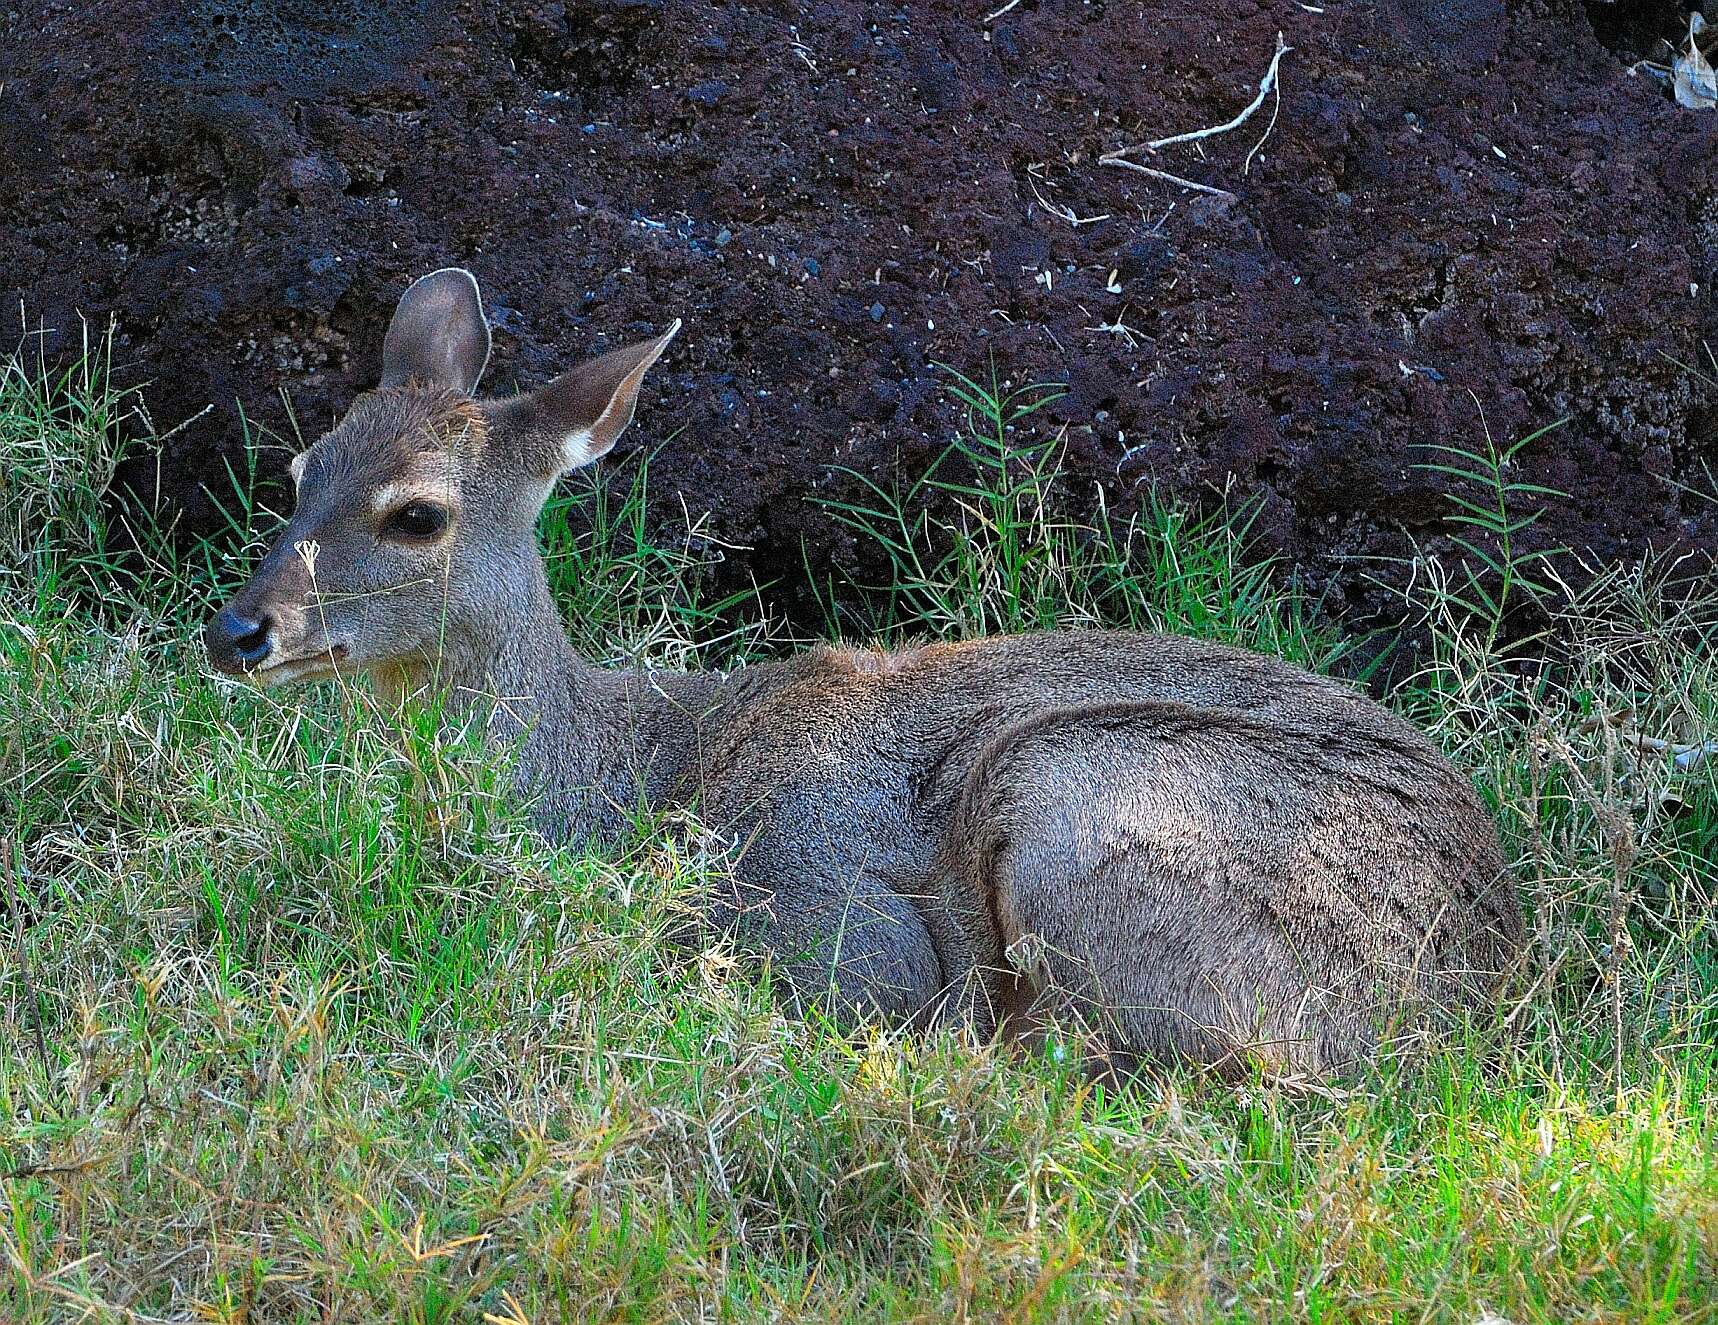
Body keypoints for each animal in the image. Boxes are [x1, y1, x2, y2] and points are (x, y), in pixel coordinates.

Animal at [207, 269, 1525, 1079]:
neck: (628, 783)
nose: (238, 630)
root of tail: (1484, 976)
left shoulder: (839, 927)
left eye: (418, 514)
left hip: (1074, 794)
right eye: (299, 468)